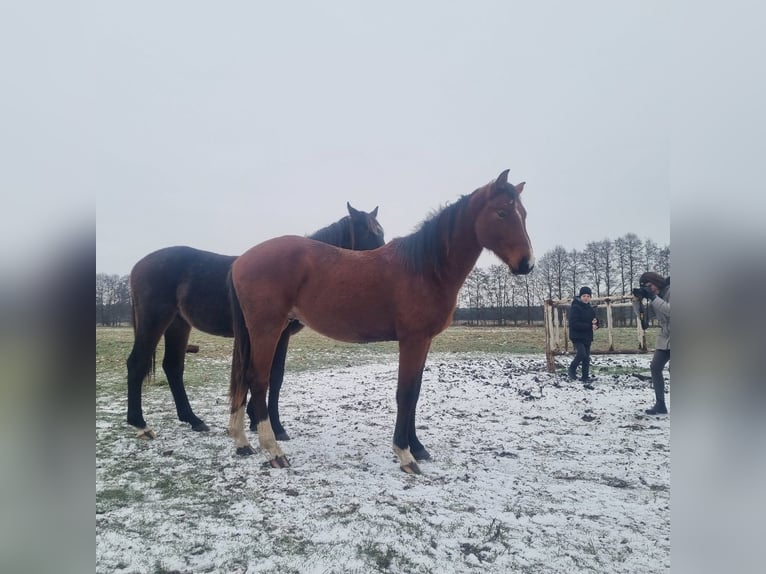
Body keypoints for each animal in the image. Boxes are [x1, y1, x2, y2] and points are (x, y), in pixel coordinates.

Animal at [130, 204, 390, 440]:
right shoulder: (277, 334)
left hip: (179, 325)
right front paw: (276, 427)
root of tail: (139, 265)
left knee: (173, 367)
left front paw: (255, 421)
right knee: (136, 363)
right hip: (154, 321)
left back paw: (193, 420)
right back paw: (140, 424)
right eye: (371, 233)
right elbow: (274, 377)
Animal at [228, 169, 536, 474]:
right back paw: (273, 451)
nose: (527, 264)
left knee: (244, 379)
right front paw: (405, 454)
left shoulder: (424, 341)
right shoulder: (412, 341)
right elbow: (405, 393)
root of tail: (240, 261)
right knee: (258, 381)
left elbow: (415, 392)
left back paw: (243, 442)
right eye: (501, 213)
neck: (425, 268)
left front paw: (418, 447)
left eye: (523, 213)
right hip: (267, 330)